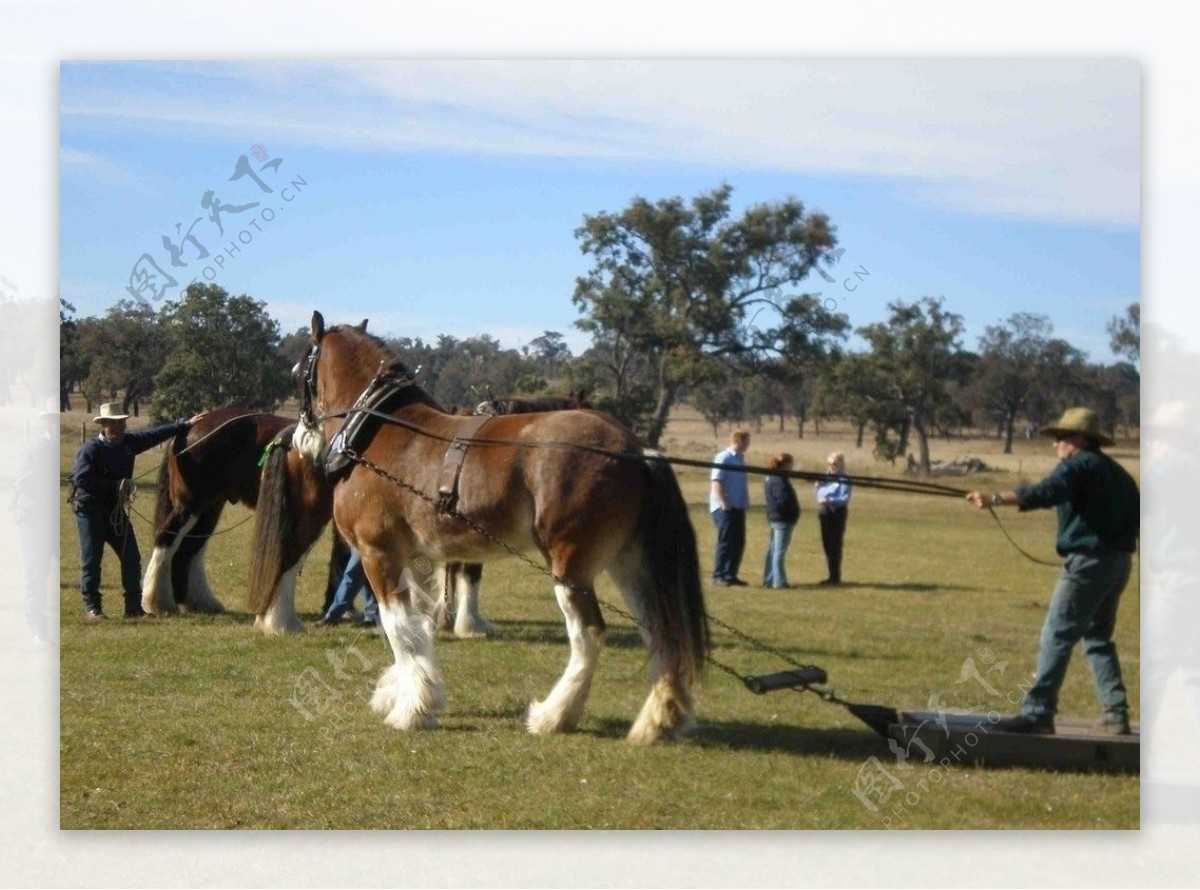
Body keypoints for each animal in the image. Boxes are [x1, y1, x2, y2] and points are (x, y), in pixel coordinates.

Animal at [248, 314, 705, 743]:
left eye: (298, 371)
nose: (302, 438)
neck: (377, 432)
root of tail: (637, 450)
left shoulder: (379, 553)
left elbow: (399, 628)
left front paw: (412, 708)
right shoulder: (412, 556)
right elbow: (416, 627)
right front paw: (408, 691)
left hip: (571, 567)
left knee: (589, 636)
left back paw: (554, 716)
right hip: (631, 564)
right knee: (662, 632)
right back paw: (657, 720)